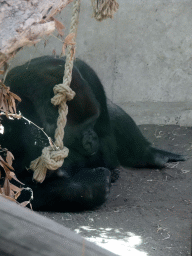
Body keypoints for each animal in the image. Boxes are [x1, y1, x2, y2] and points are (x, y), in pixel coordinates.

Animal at [0, 57, 185, 211]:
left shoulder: (85, 73)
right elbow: (12, 187)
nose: (93, 139)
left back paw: (147, 154)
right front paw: (91, 187)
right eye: (83, 129)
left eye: (93, 122)